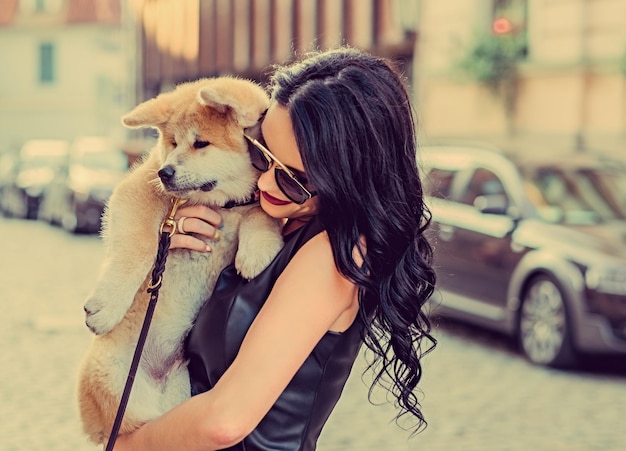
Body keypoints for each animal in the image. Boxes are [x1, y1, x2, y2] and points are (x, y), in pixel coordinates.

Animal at [76, 77, 282, 444]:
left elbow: (261, 210)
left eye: (201, 143)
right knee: (130, 427)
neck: (222, 204)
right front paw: (108, 306)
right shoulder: (140, 191)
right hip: (112, 380)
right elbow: (139, 246)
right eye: (172, 143)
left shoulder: (256, 201)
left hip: (177, 391)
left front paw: (259, 247)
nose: (165, 172)